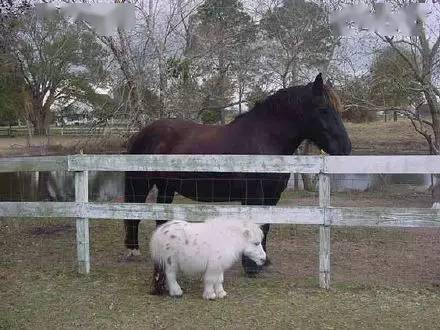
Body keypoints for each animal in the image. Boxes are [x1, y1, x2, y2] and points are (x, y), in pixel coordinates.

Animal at [125, 73, 352, 292]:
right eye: (323, 110)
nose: (346, 148)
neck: (264, 139)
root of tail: (141, 133)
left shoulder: (272, 196)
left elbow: (265, 227)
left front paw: (262, 261)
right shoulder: (255, 195)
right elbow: (257, 226)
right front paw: (251, 266)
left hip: (167, 187)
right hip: (141, 184)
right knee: (133, 216)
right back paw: (133, 251)